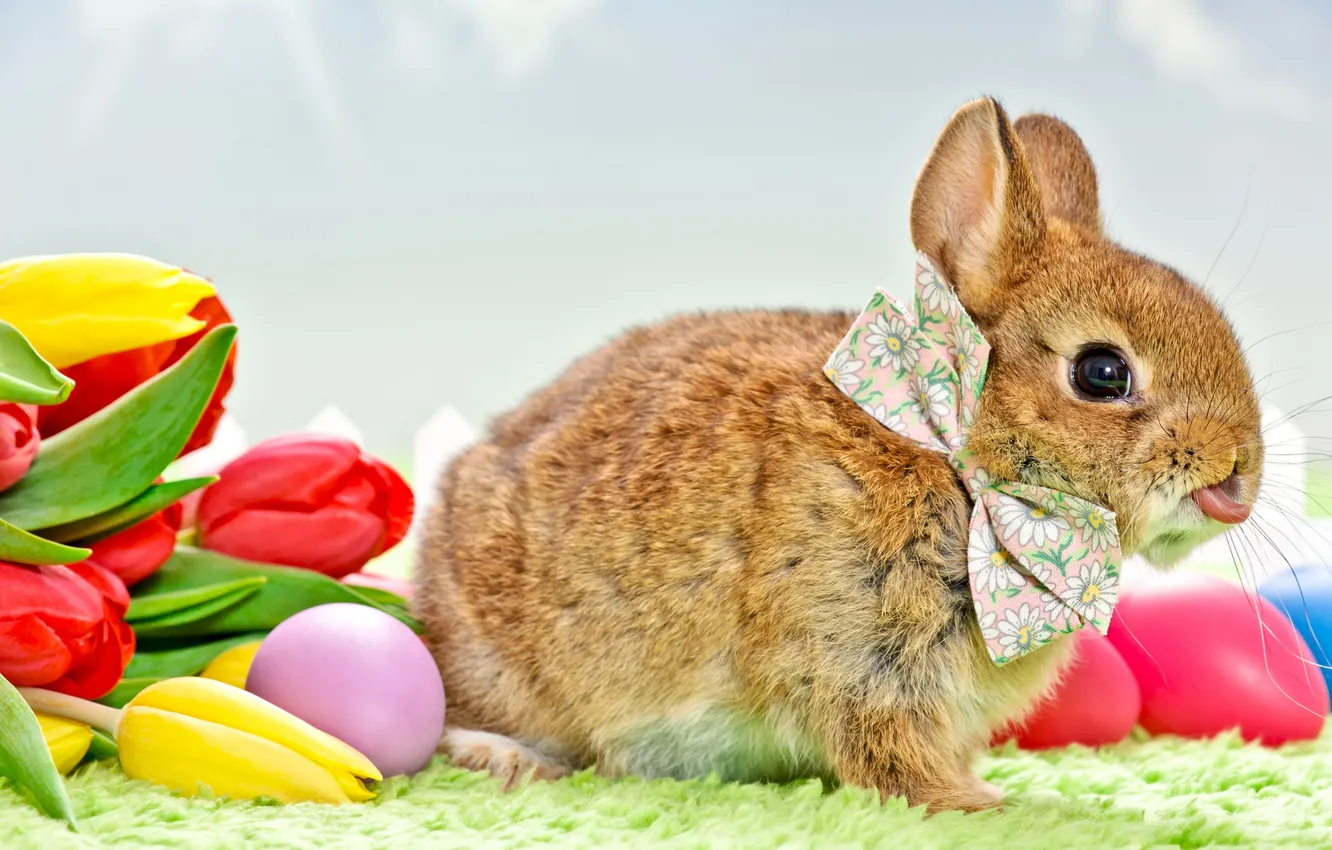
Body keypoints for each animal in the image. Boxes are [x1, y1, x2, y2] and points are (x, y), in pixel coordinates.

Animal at [412, 96, 1263, 813]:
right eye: (1101, 372)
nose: (1238, 469)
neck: (959, 462)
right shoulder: (861, 658)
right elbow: (887, 751)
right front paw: (983, 806)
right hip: (501, 662)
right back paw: (507, 758)